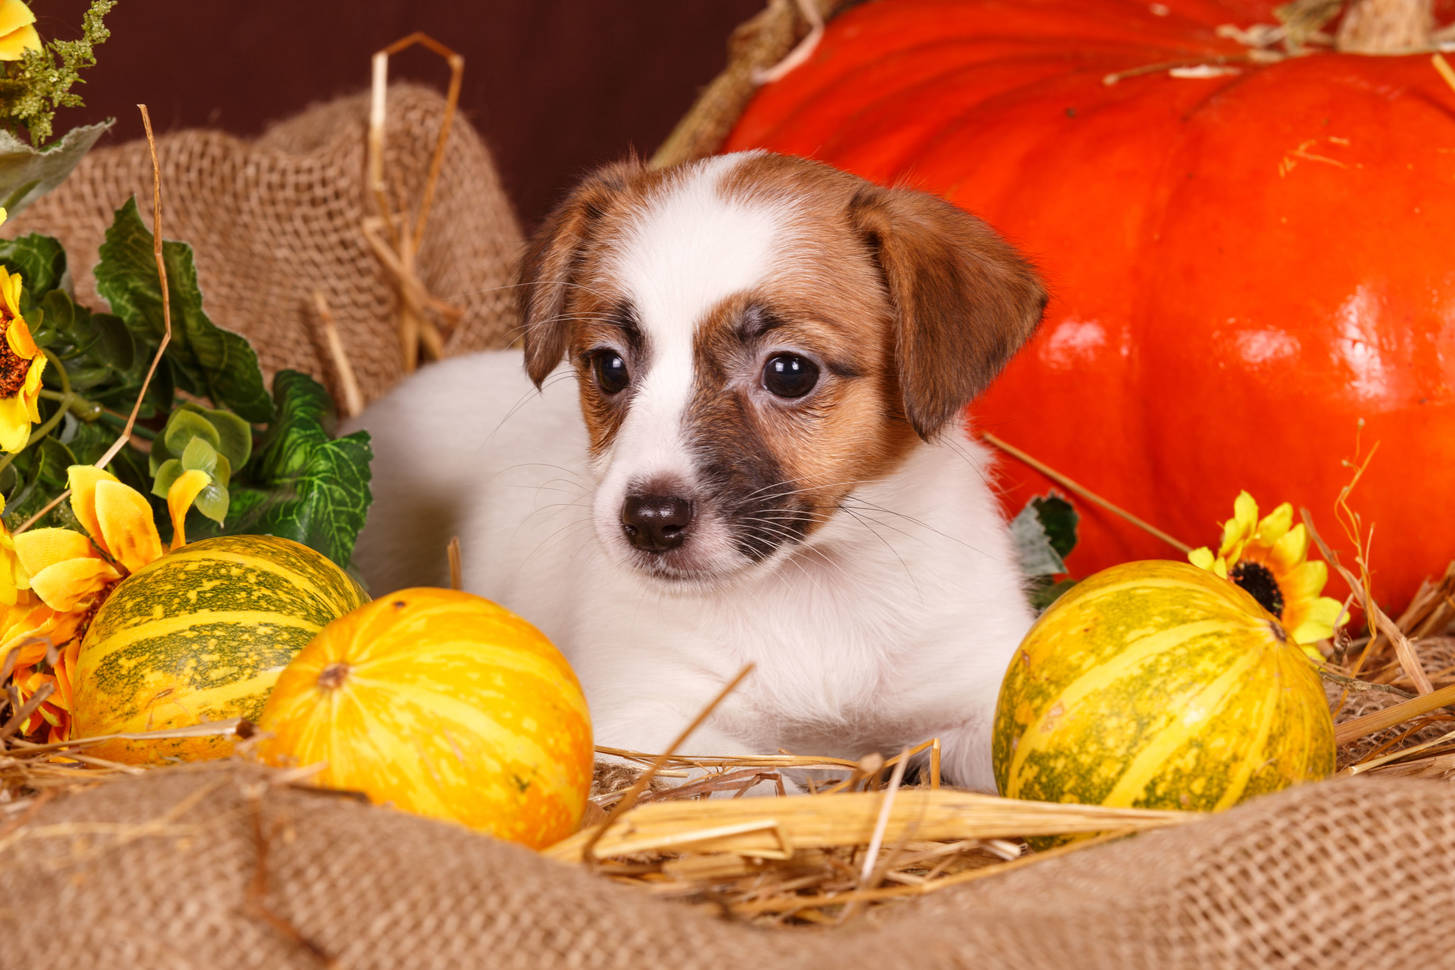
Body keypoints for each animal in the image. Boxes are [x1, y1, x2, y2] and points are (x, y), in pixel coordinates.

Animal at [349, 149, 1047, 791]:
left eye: (789, 372)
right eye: (609, 367)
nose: (649, 522)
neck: (812, 590)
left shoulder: (982, 689)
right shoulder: (649, 719)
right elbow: (762, 780)